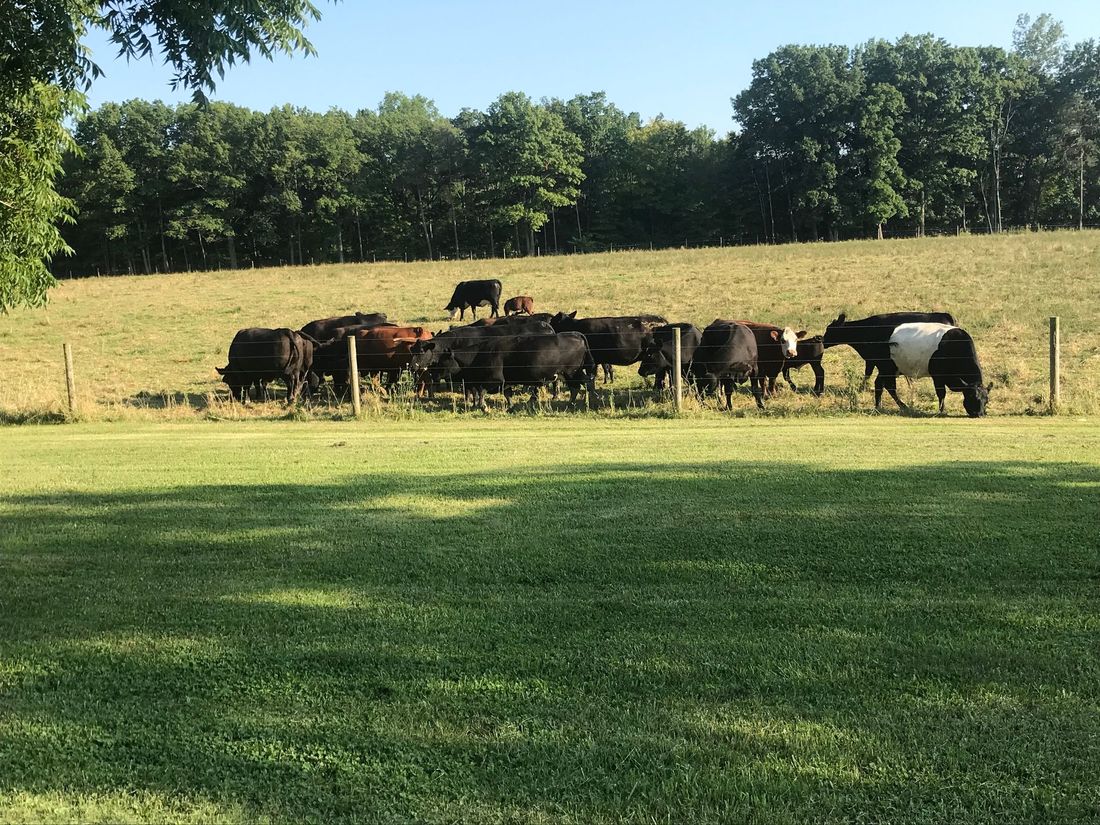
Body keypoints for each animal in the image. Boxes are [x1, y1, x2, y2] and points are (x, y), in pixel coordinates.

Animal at [822, 312, 959, 387]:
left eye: (829, 329)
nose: (822, 341)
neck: (866, 329)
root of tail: (945, 315)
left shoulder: (871, 359)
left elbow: (867, 373)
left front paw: (862, 388)